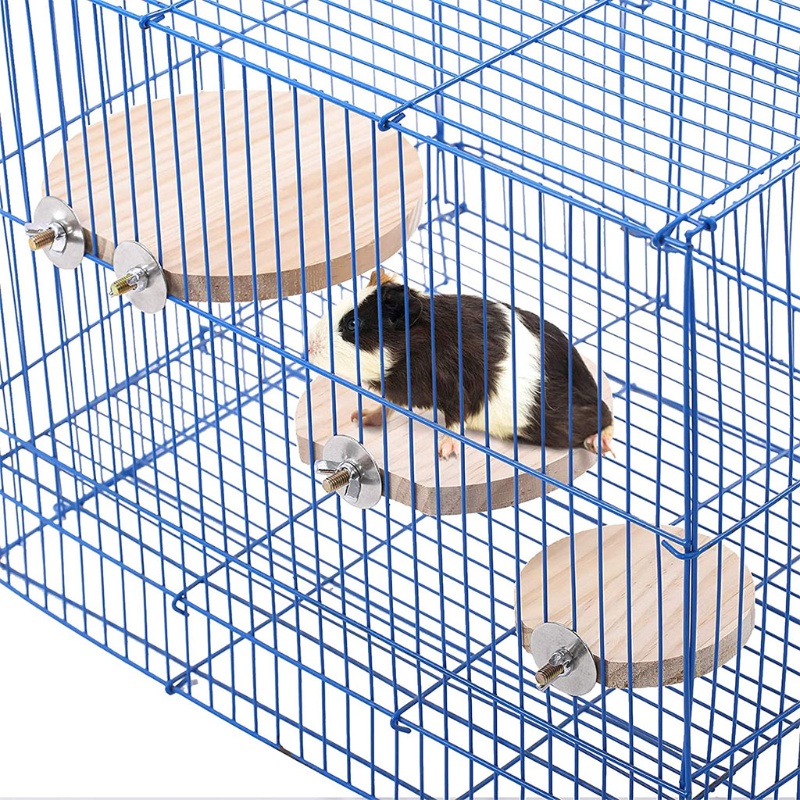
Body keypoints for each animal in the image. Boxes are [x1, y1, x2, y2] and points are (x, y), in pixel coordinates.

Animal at [307, 270, 614, 460]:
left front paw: (444, 452)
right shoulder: (399, 393)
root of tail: (588, 382)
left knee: (606, 417)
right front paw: (360, 418)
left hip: (564, 422)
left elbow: (454, 422)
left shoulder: (456, 389)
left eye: (352, 324)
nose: (309, 346)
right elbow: (387, 409)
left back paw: (600, 444)